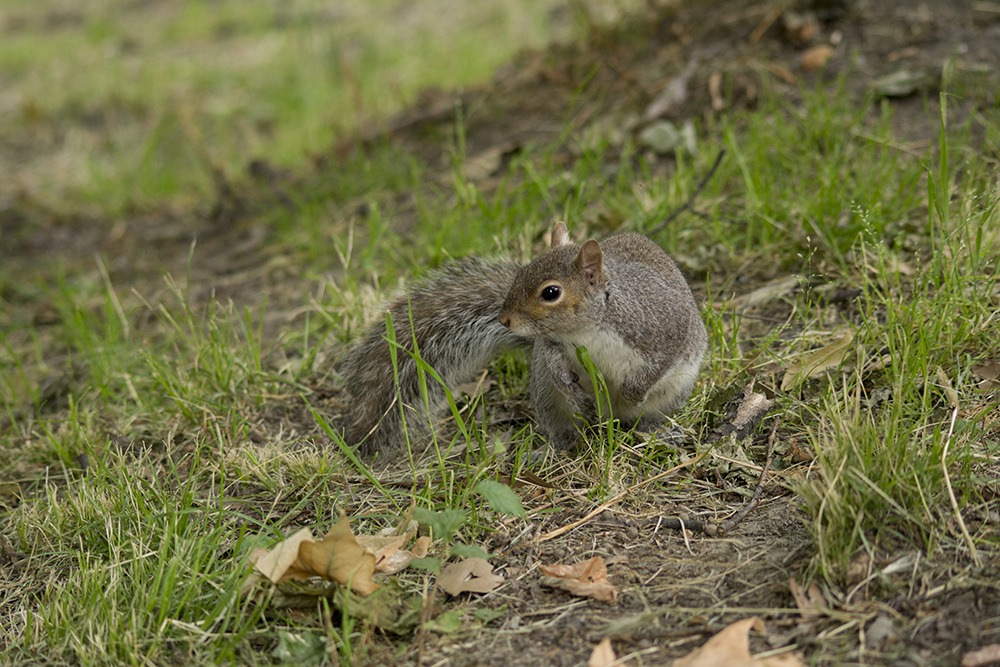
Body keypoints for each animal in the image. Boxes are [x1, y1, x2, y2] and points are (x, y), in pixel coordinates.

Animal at [339, 223, 708, 458]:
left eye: (551, 293)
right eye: (519, 275)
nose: (504, 319)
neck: (587, 331)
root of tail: (609, 421)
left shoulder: (662, 327)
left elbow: (660, 361)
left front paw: (633, 390)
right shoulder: (553, 347)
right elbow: (558, 367)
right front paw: (574, 390)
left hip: (673, 391)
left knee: (645, 418)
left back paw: (656, 429)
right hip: (547, 397)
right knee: (565, 428)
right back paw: (556, 447)